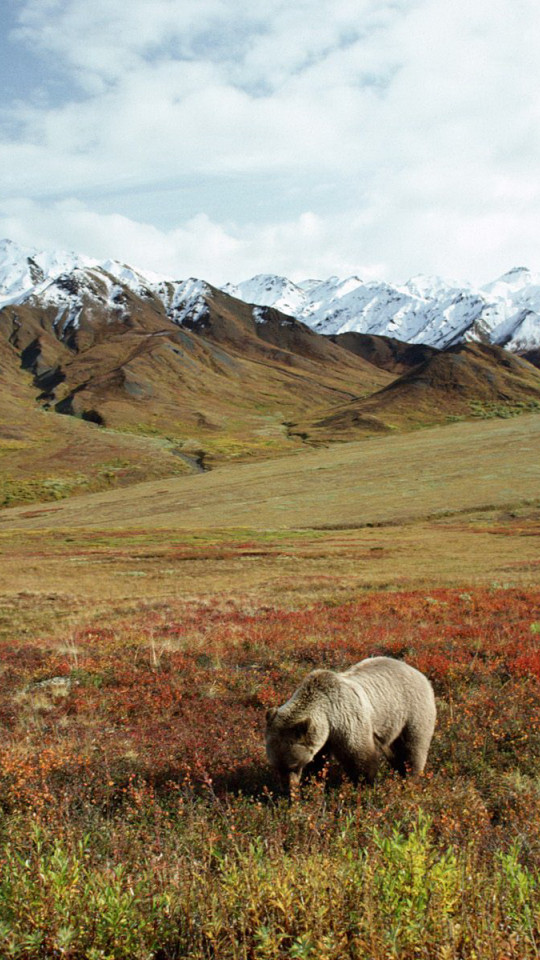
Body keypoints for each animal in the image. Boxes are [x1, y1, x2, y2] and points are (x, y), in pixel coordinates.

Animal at [264, 656, 436, 792]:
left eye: (293, 765)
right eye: (276, 766)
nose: (287, 789)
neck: (328, 717)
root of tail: (419, 673)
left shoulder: (347, 719)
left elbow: (360, 757)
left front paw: (365, 785)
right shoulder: (323, 737)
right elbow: (318, 762)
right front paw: (312, 783)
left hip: (413, 712)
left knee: (413, 748)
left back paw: (410, 778)